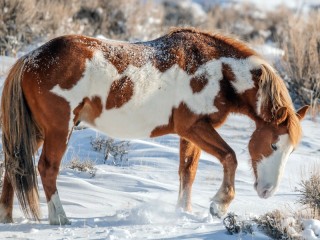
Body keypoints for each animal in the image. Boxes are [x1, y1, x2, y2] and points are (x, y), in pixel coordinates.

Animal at [0, 28, 310, 225]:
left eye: (292, 151)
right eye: (273, 144)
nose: (267, 191)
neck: (219, 72)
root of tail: (29, 58)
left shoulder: (190, 134)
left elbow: (187, 172)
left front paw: (183, 212)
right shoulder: (194, 127)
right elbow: (229, 157)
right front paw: (219, 205)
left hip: (37, 130)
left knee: (15, 165)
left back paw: (8, 216)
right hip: (59, 129)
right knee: (46, 169)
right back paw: (60, 218)